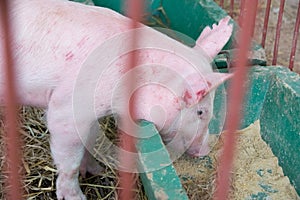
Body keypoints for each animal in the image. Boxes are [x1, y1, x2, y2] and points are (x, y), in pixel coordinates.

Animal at [0, 0, 233, 199]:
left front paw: (96, 170)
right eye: (200, 111)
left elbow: (90, 139)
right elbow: (70, 158)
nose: (203, 151)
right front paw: (76, 196)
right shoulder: (67, 109)